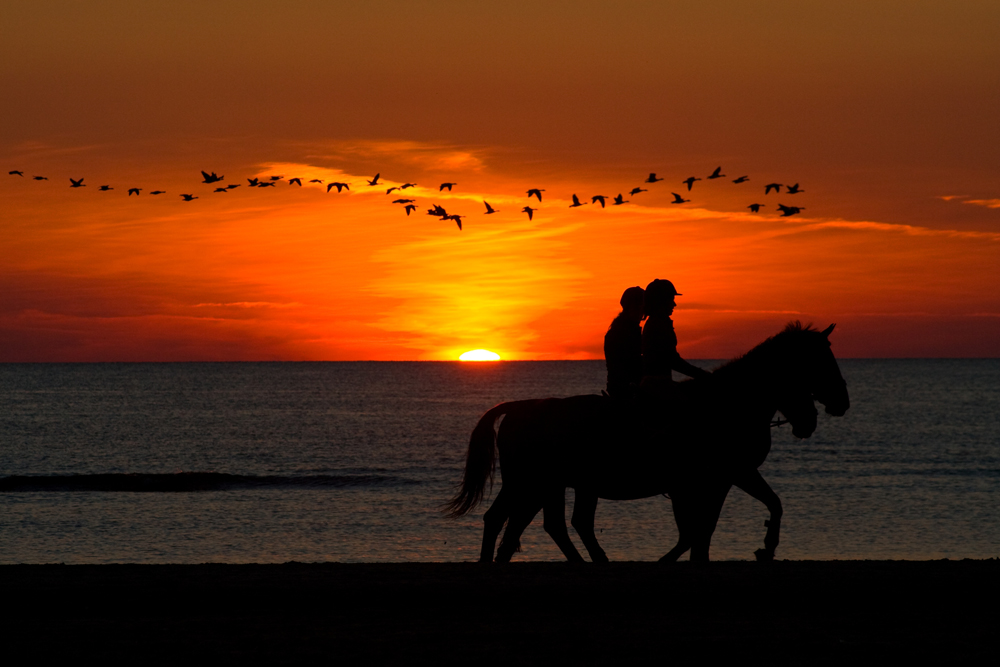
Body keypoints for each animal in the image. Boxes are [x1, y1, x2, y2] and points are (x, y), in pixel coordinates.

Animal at [450, 324, 848, 564]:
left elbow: (755, 509)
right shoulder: (723, 476)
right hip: (535, 483)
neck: (727, 404)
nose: (839, 404)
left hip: (545, 484)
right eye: (821, 360)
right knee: (522, 521)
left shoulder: (722, 477)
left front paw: (763, 549)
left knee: (536, 523)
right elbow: (703, 527)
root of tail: (520, 408)